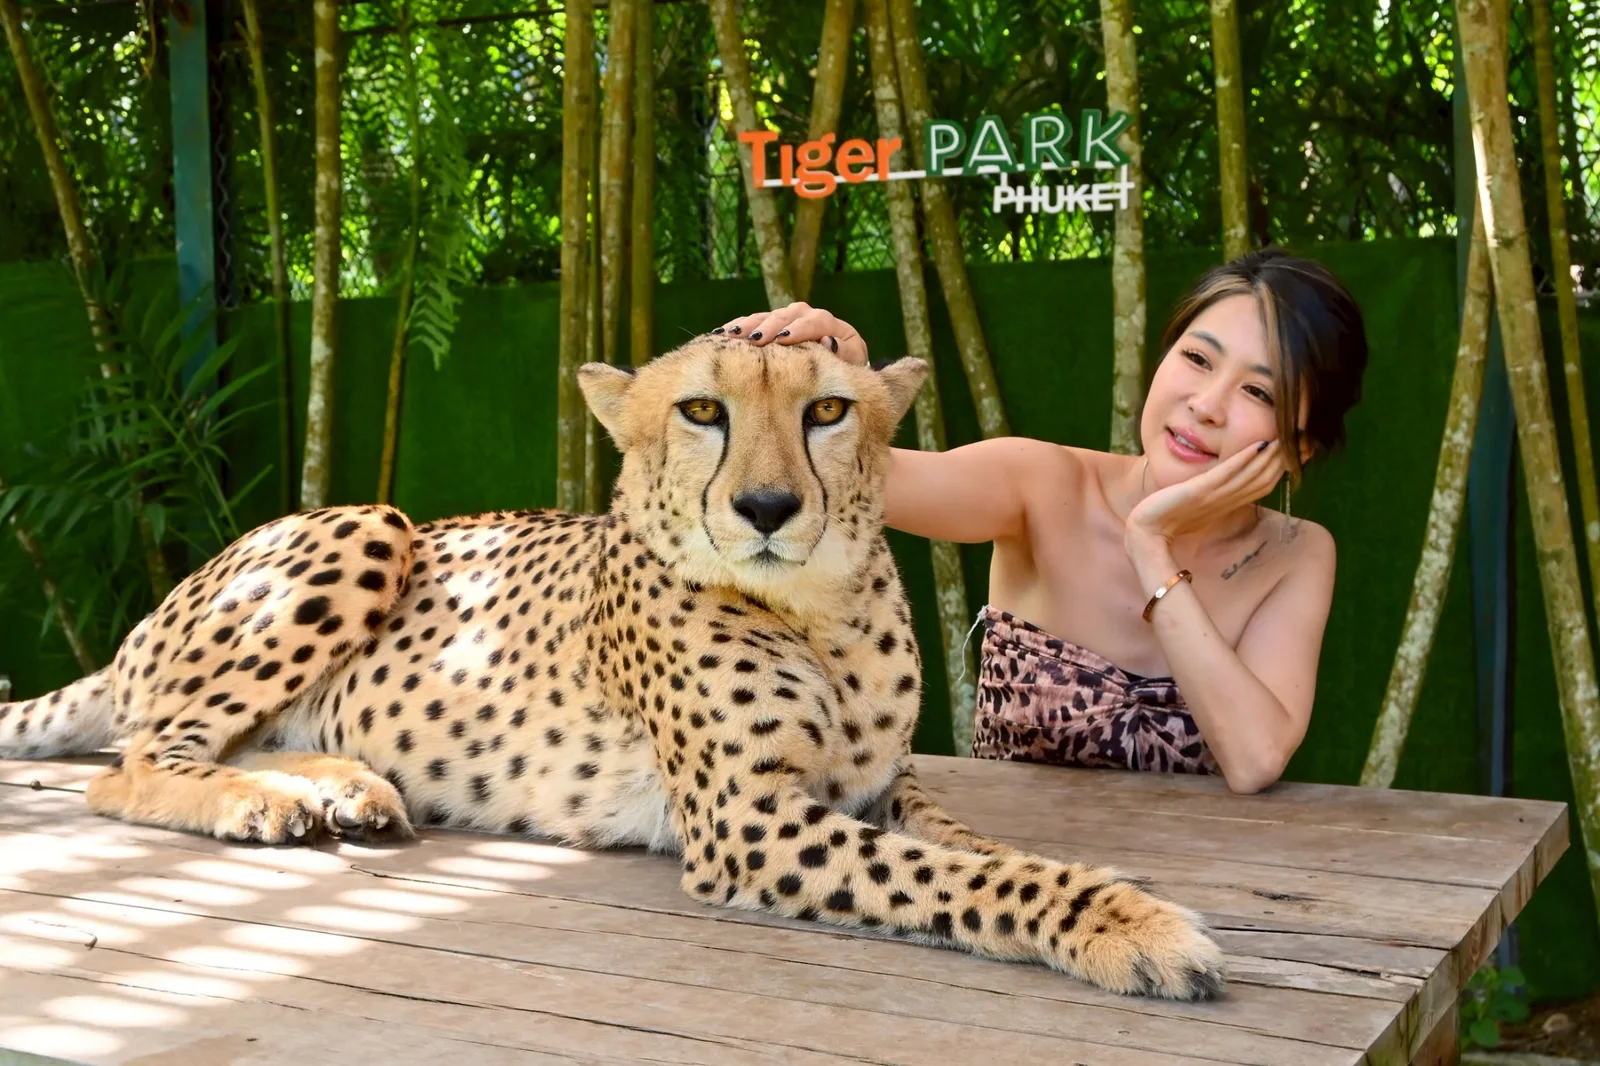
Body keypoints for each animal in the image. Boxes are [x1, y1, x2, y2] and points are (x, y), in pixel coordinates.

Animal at [0, 335, 1225, 1000]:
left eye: (829, 411)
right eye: (702, 410)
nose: (766, 506)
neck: (819, 613)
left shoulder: (878, 788)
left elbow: (981, 848)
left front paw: (1109, 897)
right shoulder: (747, 821)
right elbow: (970, 880)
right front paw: (1135, 928)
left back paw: (341, 787)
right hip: (369, 523)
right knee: (131, 763)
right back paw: (262, 801)